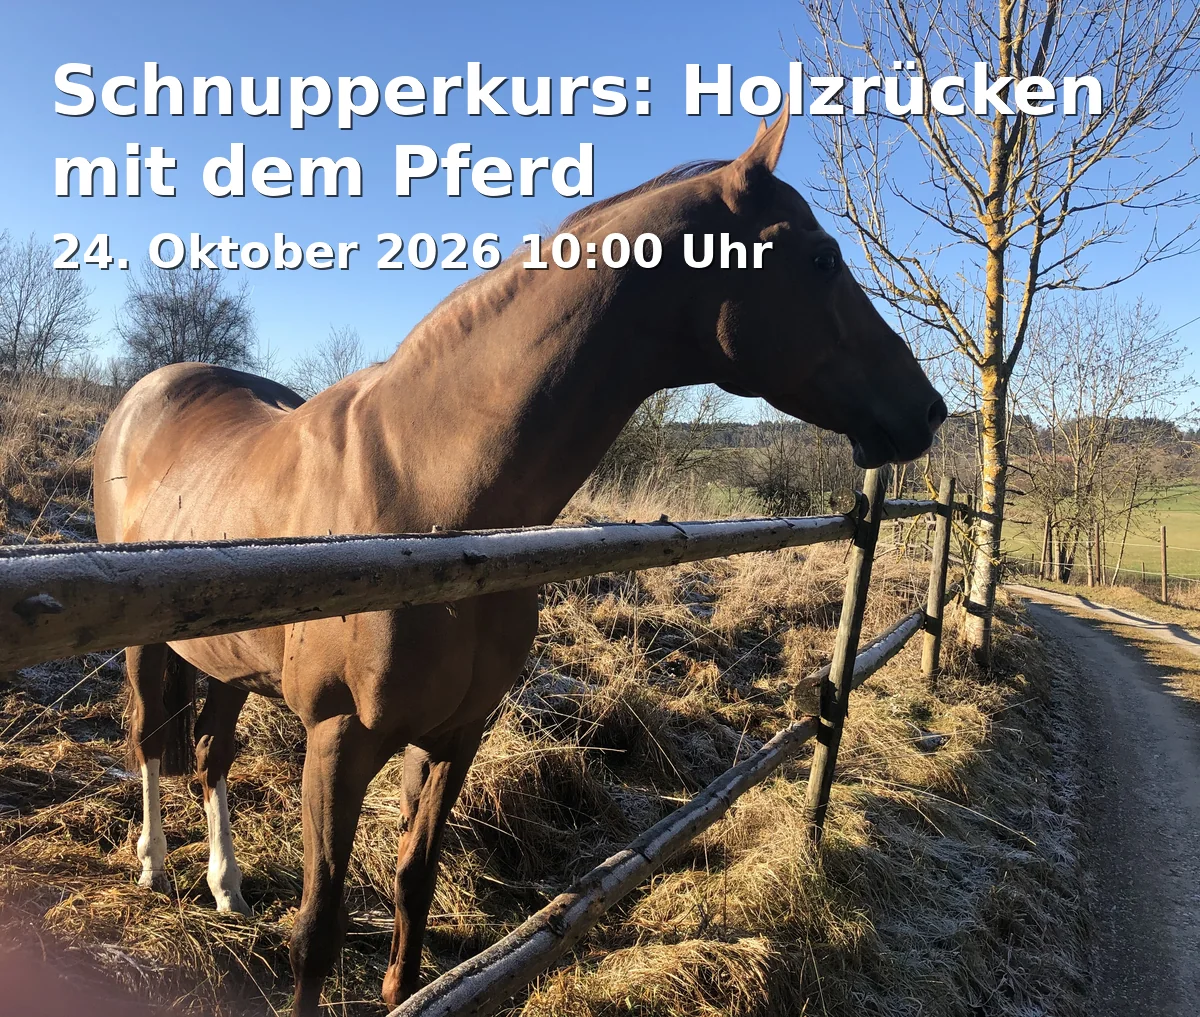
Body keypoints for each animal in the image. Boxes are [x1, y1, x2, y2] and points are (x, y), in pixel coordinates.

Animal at [92, 108, 946, 1015]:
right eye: (820, 258)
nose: (929, 409)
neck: (431, 500)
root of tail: (144, 397)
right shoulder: (338, 739)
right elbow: (317, 931)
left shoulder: (455, 735)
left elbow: (414, 883)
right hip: (147, 642)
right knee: (149, 741)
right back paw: (153, 866)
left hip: (225, 660)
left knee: (209, 756)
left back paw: (227, 886)